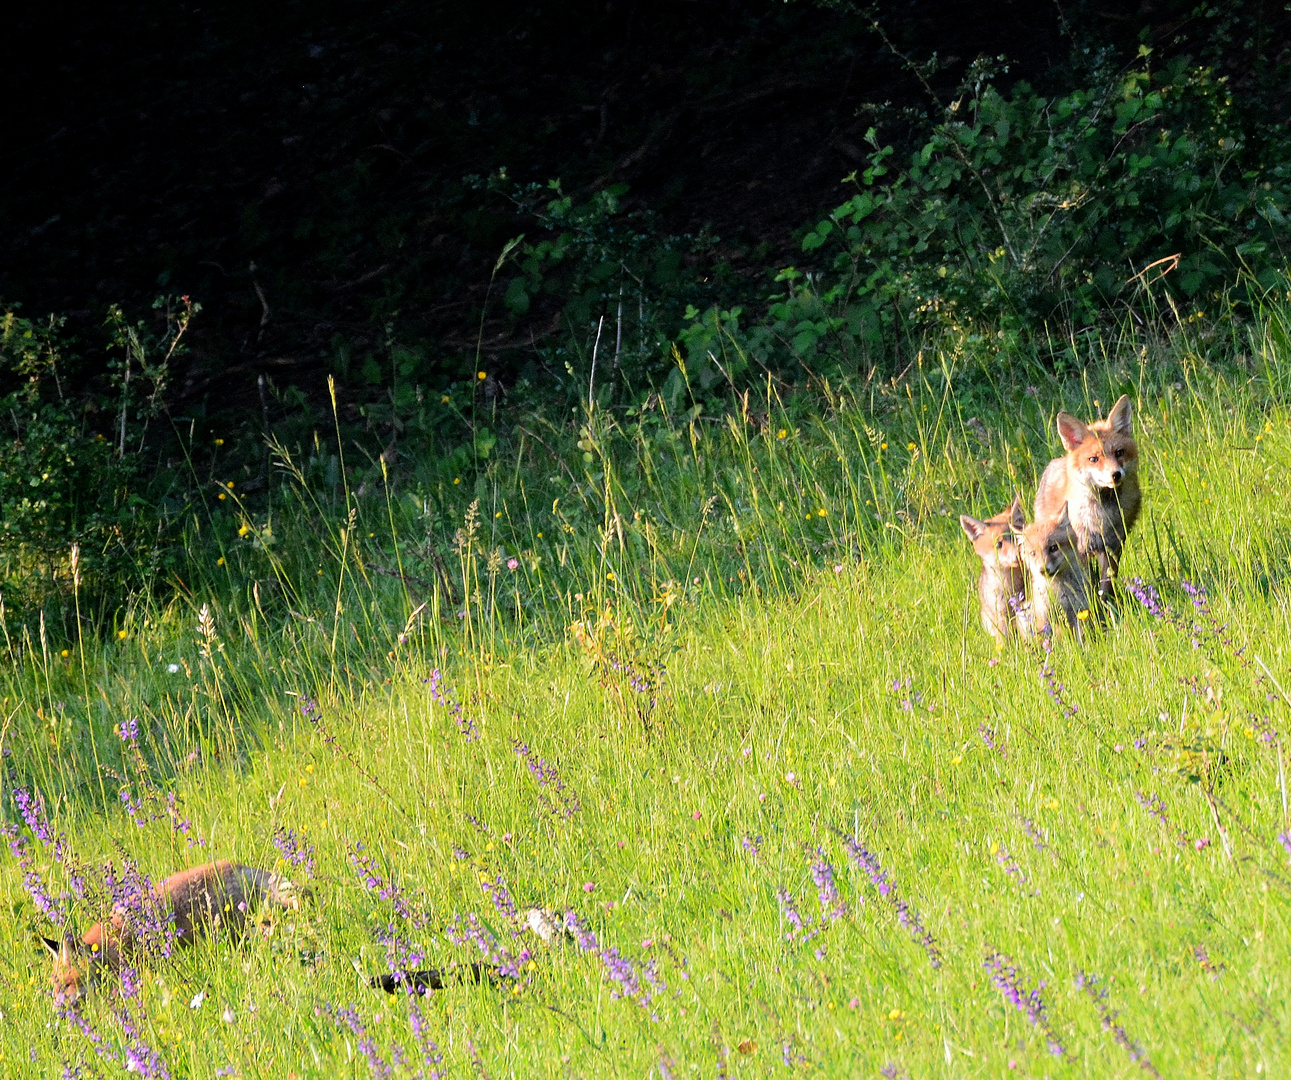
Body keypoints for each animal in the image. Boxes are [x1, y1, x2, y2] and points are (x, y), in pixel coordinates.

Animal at [960, 495, 1027, 645]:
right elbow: (1004, 642)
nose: (1017, 555)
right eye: (999, 544)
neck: (1010, 586)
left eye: (1016, 537)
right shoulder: (1000, 613)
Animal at [1032, 394, 1146, 593]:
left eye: (1119, 452)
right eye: (1094, 459)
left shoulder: (1113, 546)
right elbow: (1085, 582)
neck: (1103, 516)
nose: (1115, 474)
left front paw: (1107, 600)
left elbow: (1106, 584)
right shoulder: (1080, 549)